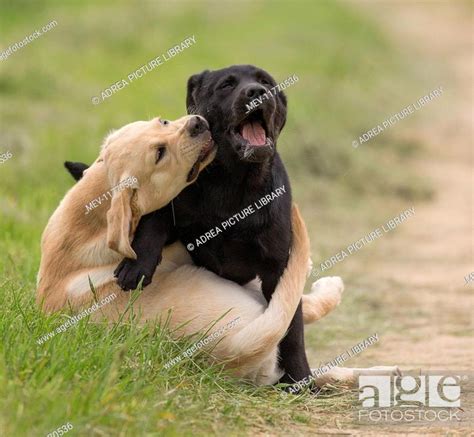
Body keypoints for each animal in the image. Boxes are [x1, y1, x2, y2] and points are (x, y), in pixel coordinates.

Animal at [65, 64, 312, 384]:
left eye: (266, 82)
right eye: (226, 85)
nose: (256, 91)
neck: (232, 184)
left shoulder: (277, 265)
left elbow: (292, 327)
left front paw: (300, 380)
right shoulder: (173, 200)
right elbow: (154, 222)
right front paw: (137, 266)